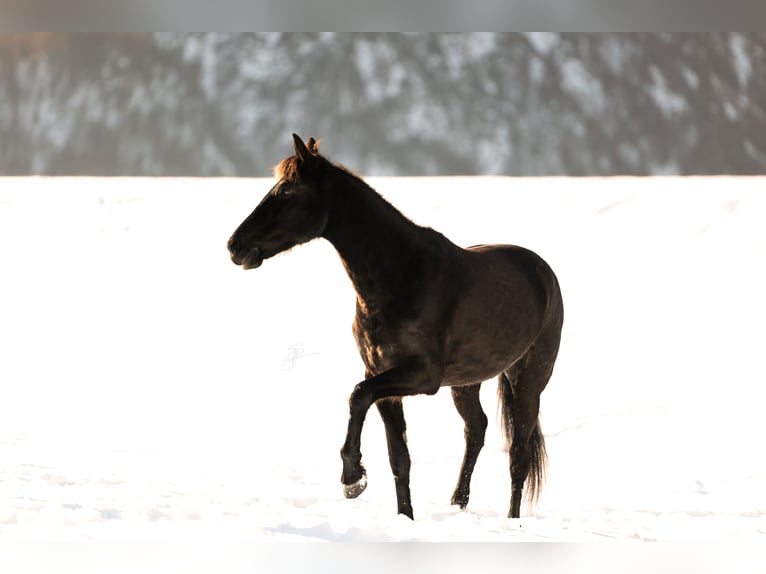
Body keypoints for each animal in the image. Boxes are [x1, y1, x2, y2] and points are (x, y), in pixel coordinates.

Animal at [227, 134, 564, 519]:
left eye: (286, 191)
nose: (235, 245)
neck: (403, 276)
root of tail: (542, 271)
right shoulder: (383, 376)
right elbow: (398, 457)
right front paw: (404, 517)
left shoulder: (421, 376)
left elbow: (357, 395)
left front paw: (352, 477)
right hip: (467, 382)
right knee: (476, 429)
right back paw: (458, 502)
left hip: (529, 379)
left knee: (518, 454)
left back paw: (511, 520)